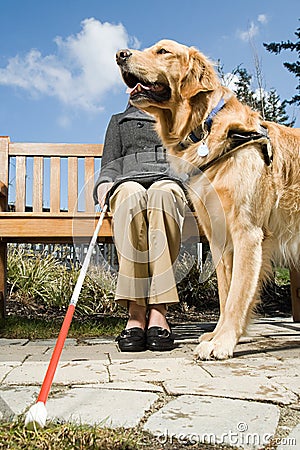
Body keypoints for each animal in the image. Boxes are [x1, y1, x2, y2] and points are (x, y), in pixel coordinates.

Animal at [116, 40, 300, 360]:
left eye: (163, 51)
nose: (119, 55)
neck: (205, 127)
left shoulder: (247, 234)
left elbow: (238, 294)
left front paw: (224, 342)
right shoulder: (218, 238)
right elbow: (225, 293)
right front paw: (217, 335)